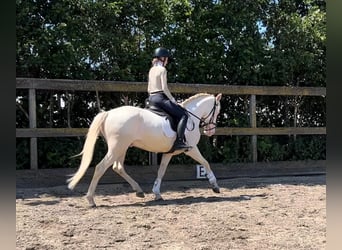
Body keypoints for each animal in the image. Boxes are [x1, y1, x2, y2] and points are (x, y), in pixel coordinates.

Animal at [67, 93, 222, 206]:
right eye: (217, 111)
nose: (210, 131)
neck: (190, 117)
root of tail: (108, 113)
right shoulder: (191, 148)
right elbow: (205, 162)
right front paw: (215, 186)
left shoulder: (169, 153)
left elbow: (161, 171)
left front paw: (157, 193)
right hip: (117, 148)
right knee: (101, 167)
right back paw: (91, 200)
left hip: (121, 148)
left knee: (118, 167)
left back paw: (139, 191)